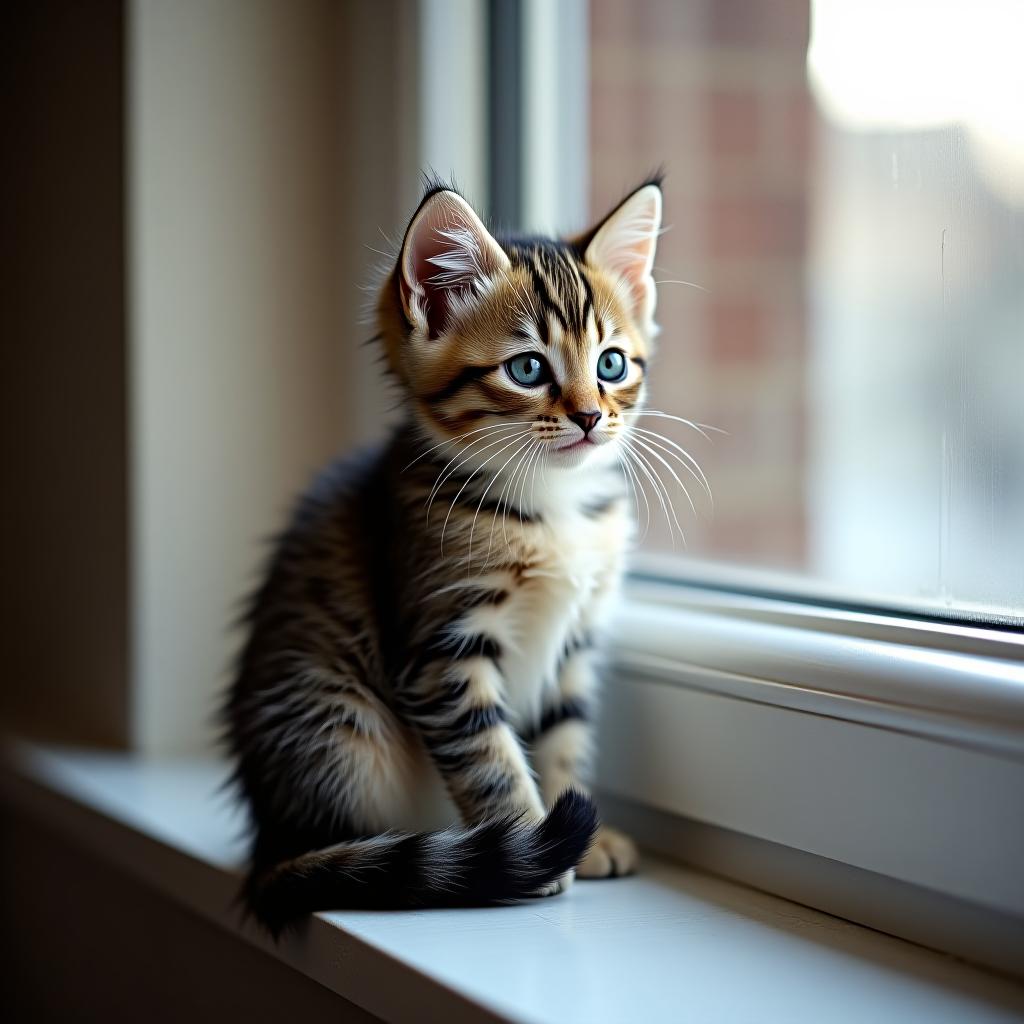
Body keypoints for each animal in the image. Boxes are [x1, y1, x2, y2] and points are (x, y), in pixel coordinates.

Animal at [222, 178, 663, 937]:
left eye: (611, 363)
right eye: (527, 368)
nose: (587, 417)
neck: (551, 507)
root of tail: (267, 843)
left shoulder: (574, 646)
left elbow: (564, 737)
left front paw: (581, 831)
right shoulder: (443, 649)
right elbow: (491, 756)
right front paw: (534, 841)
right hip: (338, 724)